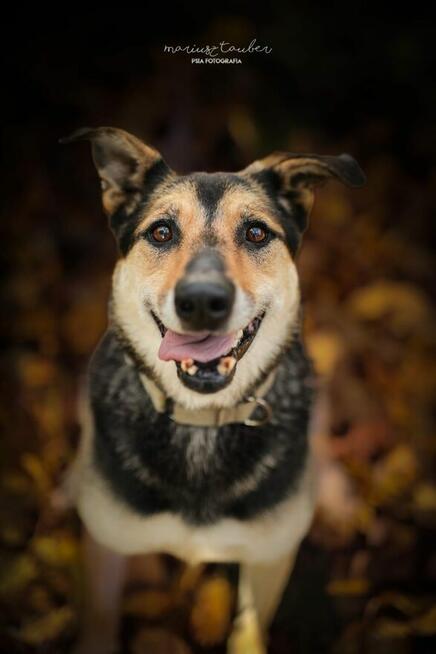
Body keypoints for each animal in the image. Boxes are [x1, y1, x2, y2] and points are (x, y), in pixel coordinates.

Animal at [58, 128, 364, 654]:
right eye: (161, 233)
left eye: (257, 233)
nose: (202, 301)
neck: (199, 422)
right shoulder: (105, 548)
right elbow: (99, 622)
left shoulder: (268, 558)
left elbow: (249, 628)